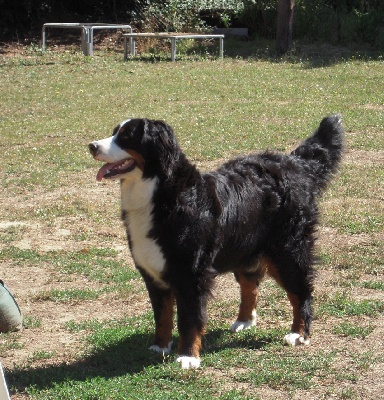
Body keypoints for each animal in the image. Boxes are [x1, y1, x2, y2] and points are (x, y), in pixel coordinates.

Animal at [89, 113, 344, 368]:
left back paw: (299, 333)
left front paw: (187, 357)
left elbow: (189, 319)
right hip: (244, 249)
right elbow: (162, 316)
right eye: (114, 132)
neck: (159, 193)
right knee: (250, 286)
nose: (92, 146)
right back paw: (244, 321)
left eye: (126, 136)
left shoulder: (190, 276)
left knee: (301, 292)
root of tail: (295, 163)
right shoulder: (153, 273)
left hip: (287, 251)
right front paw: (159, 346)